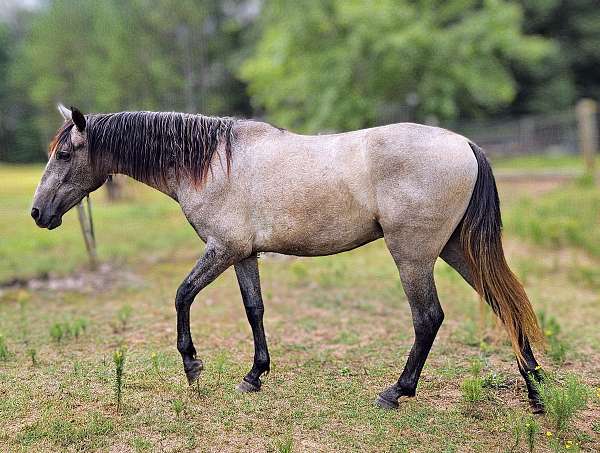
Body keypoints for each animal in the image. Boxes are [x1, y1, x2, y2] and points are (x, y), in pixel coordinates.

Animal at [31, 104, 548, 412]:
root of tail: (465, 144)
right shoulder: (243, 254)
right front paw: (254, 375)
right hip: (457, 250)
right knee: (505, 305)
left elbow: (181, 296)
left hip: (414, 256)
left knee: (428, 318)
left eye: (64, 155)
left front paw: (193, 366)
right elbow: (254, 309)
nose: (37, 213)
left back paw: (396, 392)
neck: (212, 162)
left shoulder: (221, 249)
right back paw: (537, 391)